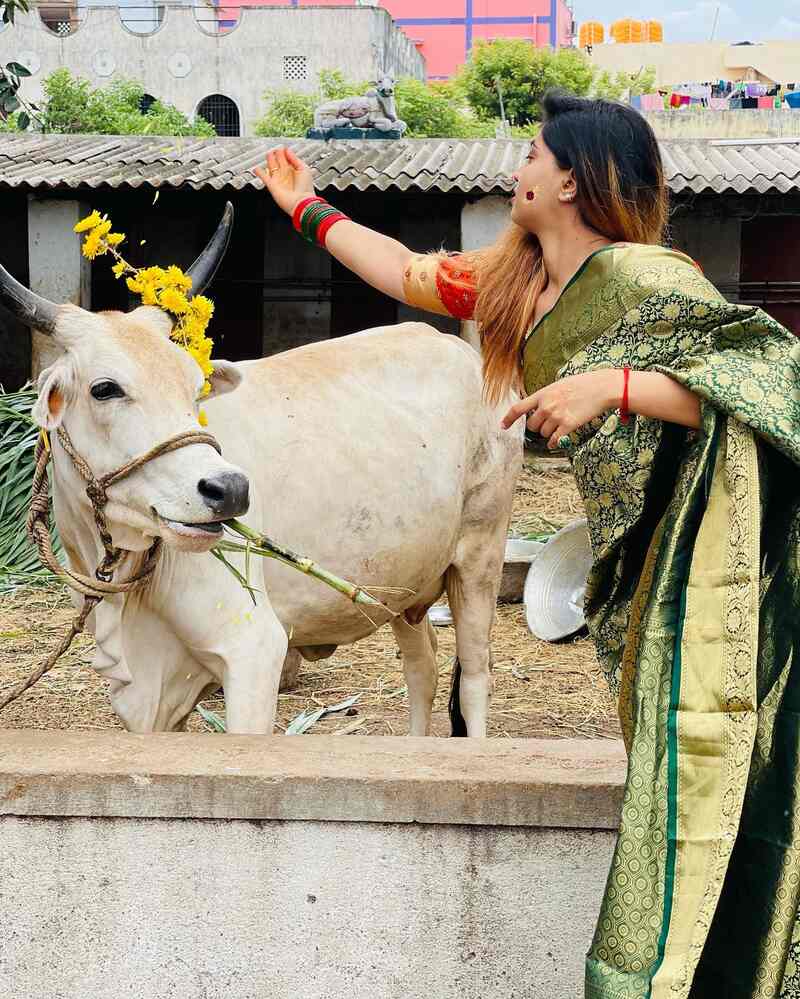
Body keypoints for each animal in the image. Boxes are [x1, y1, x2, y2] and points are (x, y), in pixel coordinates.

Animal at [1, 206, 523, 737]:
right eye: (104, 388)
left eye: (195, 386)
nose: (229, 490)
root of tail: (462, 351)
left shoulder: (253, 652)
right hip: (404, 584)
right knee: (423, 668)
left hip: (479, 557)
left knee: (474, 678)